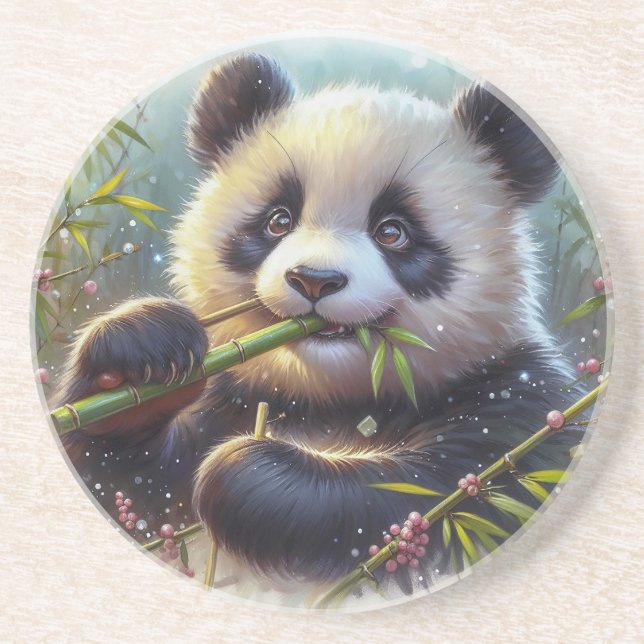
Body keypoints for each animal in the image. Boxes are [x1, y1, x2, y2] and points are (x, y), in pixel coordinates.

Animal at [58, 52, 580, 596]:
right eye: (278, 220)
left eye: (393, 232)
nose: (314, 280)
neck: (329, 398)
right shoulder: (230, 400)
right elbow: (132, 487)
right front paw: (139, 355)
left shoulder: (515, 405)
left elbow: (433, 500)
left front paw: (248, 473)